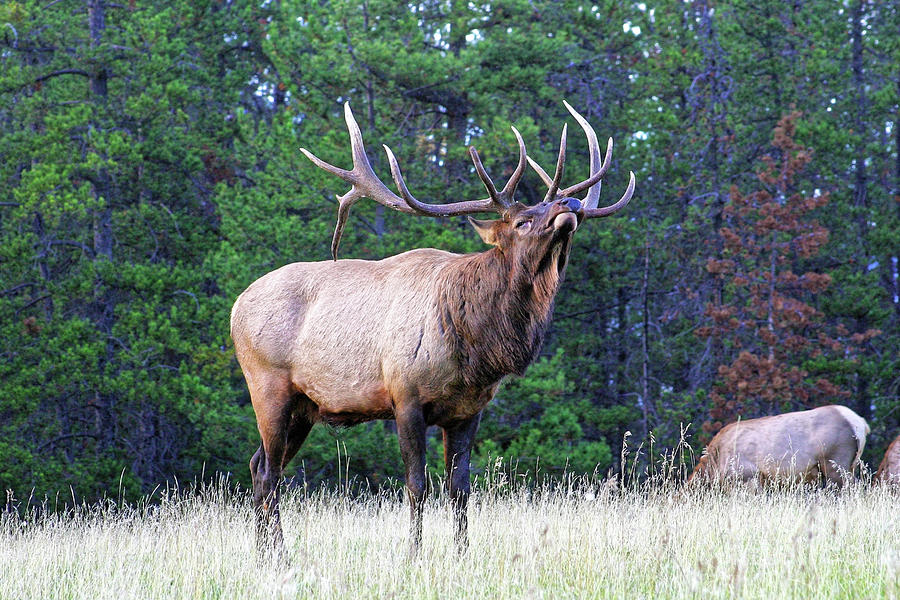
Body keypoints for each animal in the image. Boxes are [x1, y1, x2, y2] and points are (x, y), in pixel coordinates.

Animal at [229, 101, 636, 556]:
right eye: (522, 221)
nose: (571, 202)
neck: (476, 351)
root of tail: (236, 306)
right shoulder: (404, 397)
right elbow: (417, 485)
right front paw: (414, 553)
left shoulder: (469, 410)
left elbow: (460, 489)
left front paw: (462, 553)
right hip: (268, 385)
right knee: (268, 471)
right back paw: (276, 554)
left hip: (305, 406)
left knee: (260, 464)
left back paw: (267, 551)